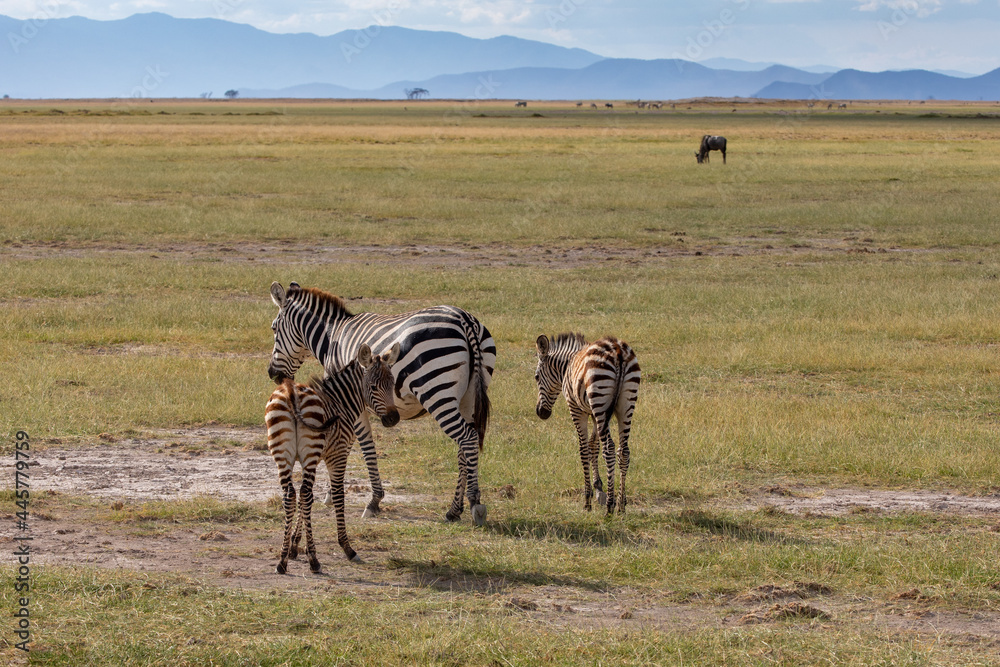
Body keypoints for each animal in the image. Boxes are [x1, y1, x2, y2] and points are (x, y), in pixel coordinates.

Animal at [265, 343, 399, 573]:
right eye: (373, 387)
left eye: (392, 385)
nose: (393, 418)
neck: (340, 401)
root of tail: (292, 392)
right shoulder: (338, 453)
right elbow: (337, 496)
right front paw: (346, 547)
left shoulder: (313, 456)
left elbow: (302, 501)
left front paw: (293, 546)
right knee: (305, 494)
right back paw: (314, 560)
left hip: (283, 454)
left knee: (291, 494)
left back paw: (282, 561)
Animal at [268, 281, 495, 526]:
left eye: (274, 329)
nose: (273, 374)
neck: (333, 336)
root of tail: (464, 319)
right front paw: (332, 491)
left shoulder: (348, 402)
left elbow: (363, 446)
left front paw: (372, 500)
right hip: (469, 398)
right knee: (465, 446)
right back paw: (454, 510)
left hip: (437, 392)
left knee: (467, 438)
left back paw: (474, 502)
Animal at [534, 333, 640, 515]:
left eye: (536, 377)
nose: (541, 412)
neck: (567, 366)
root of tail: (618, 351)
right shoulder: (596, 413)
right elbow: (593, 446)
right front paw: (599, 488)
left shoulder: (577, 409)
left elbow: (584, 449)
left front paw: (588, 499)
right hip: (626, 405)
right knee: (623, 451)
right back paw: (621, 505)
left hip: (600, 397)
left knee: (609, 448)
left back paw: (610, 508)